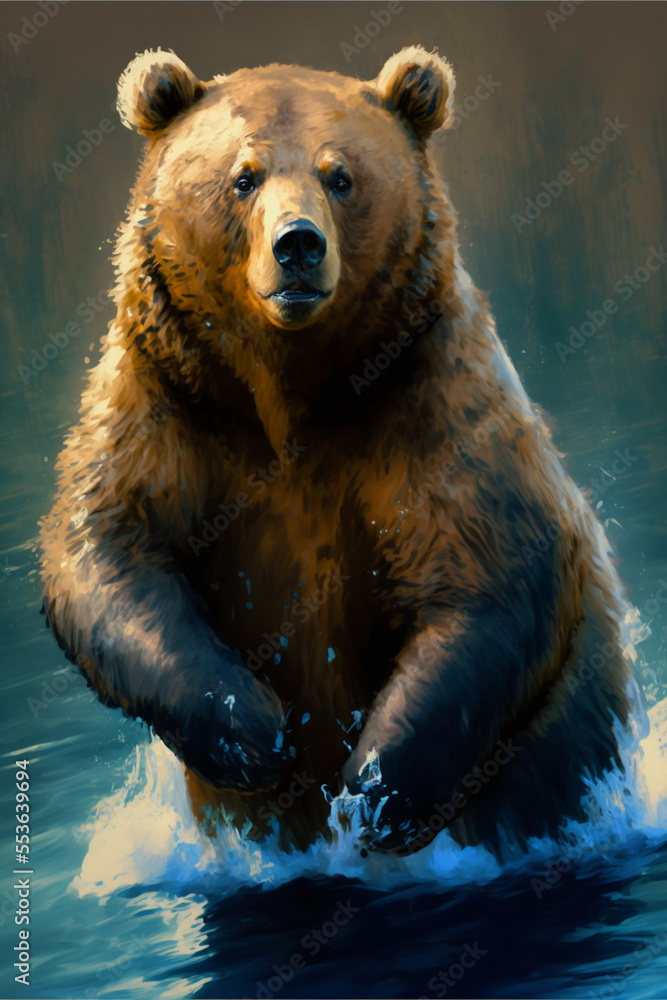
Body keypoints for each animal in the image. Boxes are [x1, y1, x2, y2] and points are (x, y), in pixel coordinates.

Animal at [40, 45, 639, 857]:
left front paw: (374, 788)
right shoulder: (169, 397)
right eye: (244, 175)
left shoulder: (428, 400)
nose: (298, 243)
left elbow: (491, 573)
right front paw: (254, 732)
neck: (292, 399)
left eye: (340, 175)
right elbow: (108, 551)